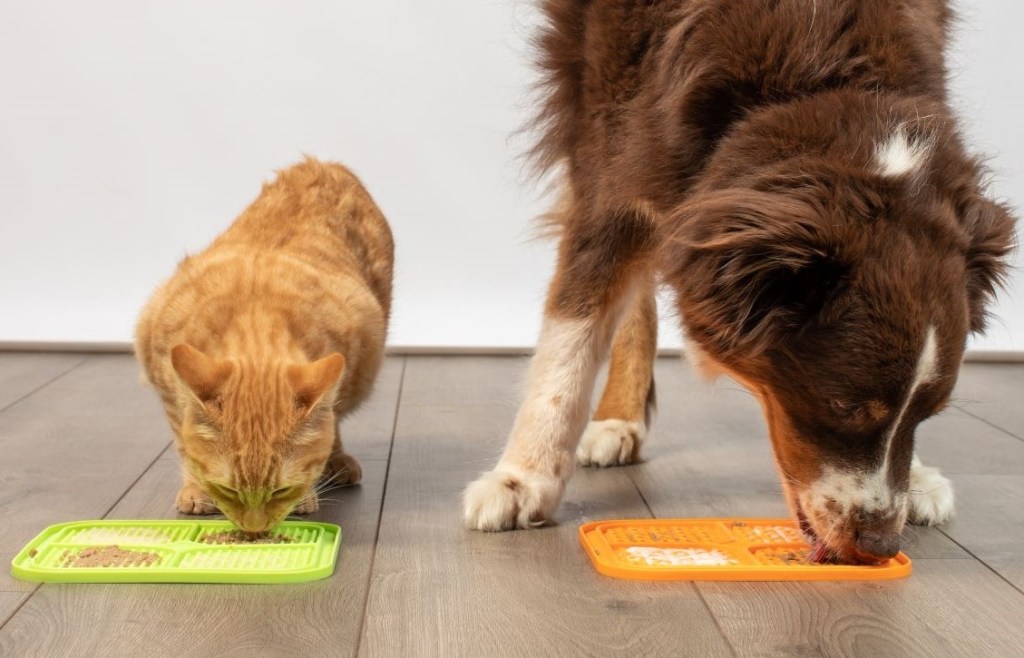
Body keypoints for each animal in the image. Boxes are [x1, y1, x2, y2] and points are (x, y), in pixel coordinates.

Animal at [134, 159, 389, 536]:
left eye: (280, 490)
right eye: (228, 490)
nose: (254, 530)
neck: (255, 319)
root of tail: (324, 164)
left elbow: (324, 433)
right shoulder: (163, 374)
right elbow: (185, 443)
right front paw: (196, 490)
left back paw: (339, 461)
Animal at [464, 1, 1015, 564]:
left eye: (929, 413)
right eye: (843, 406)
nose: (881, 546)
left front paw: (921, 477)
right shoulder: (615, 132)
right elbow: (573, 329)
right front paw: (520, 481)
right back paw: (616, 419)